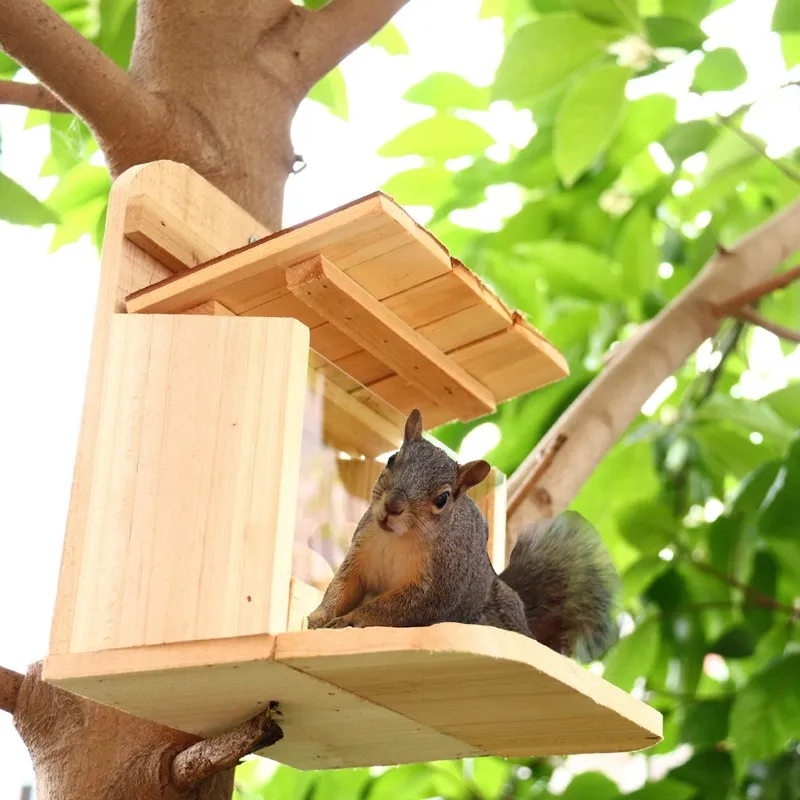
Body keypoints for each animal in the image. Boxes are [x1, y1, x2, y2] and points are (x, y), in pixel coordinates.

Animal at [307, 409, 619, 661]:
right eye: (392, 460)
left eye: (442, 498)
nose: (393, 505)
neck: (398, 539)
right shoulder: (363, 550)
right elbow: (343, 584)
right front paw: (321, 615)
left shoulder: (437, 585)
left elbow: (392, 609)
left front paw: (351, 619)